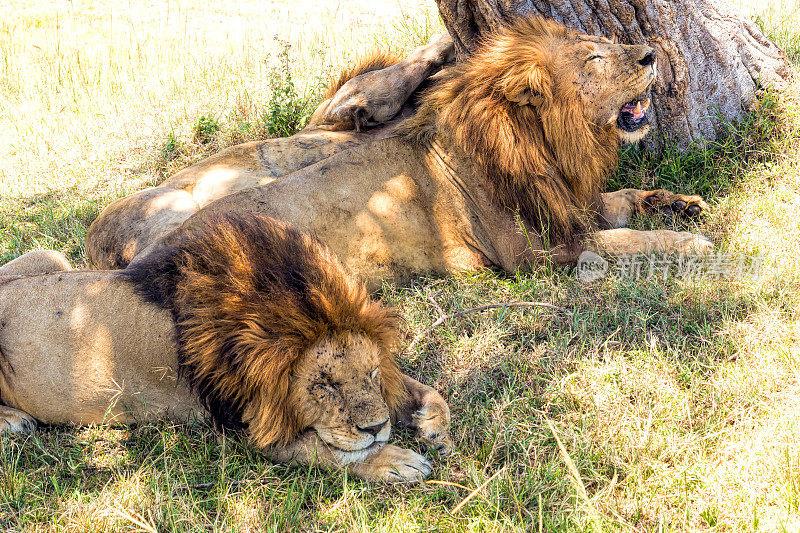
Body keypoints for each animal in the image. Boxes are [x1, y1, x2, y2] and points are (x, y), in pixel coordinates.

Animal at [0, 213, 450, 482]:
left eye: (371, 374)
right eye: (324, 385)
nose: (376, 428)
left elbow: (417, 388)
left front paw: (432, 422)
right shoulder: (243, 426)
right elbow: (331, 452)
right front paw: (394, 461)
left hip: (50, 258)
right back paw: (14, 421)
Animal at [89, 17, 712, 290]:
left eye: (608, 44)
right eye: (596, 60)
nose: (651, 54)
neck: (549, 144)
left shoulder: (570, 200)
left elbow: (623, 201)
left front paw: (680, 205)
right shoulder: (537, 252)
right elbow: (621, 242)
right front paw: (691, 245)